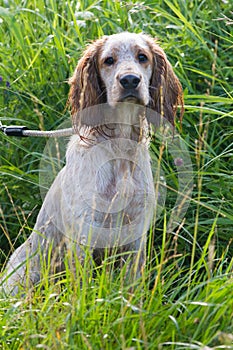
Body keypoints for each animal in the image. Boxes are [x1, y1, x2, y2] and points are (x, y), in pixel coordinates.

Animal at [0, 33, 183, 296]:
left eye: (142, 57)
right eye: (108, 60)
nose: (130, 80)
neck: (119, 148)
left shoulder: (135, 238)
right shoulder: (84, 235)